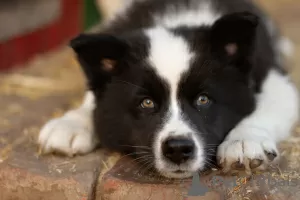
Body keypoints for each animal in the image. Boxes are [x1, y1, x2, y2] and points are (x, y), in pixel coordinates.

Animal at [37, 0, 298, 178]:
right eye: (147, 102)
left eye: (203, 99)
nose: (178, 150)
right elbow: (93, 101)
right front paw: (70, 124)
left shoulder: (275, 78)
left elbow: (267, 107)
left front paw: (243, 142)